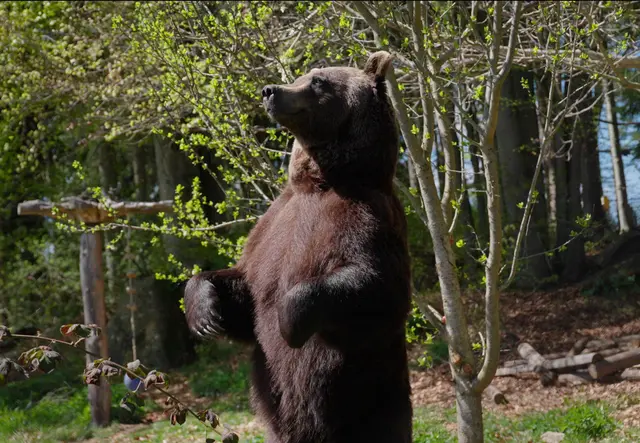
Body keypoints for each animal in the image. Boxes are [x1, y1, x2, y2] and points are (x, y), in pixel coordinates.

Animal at [183, 51, 412, 443]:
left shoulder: (368, 219)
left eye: (319, 81)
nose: (270, 90)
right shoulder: (272, 229)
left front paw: (288, 319)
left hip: (372, 398)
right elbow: (246, 290)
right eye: (301, 75)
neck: (320, 182)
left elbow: (376, 285)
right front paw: (205, 315)